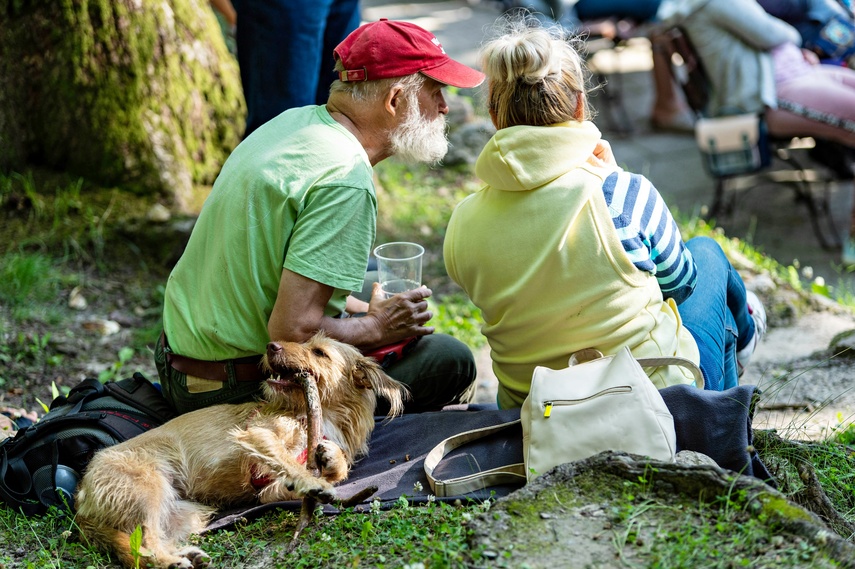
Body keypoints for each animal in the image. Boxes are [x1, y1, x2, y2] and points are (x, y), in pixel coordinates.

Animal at [73, 330, 408, 564]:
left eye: (319, 352)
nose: (271, 346)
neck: (318, 414)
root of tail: (81, 497)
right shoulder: (257, 435)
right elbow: (289, 461)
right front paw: (314, 480)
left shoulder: (269, 490)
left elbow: (326, 470)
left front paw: (331, 460)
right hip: (147, 490)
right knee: (144, 543)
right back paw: (171, 562)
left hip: (186, 515)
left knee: (149, 540)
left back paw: (185, 556)